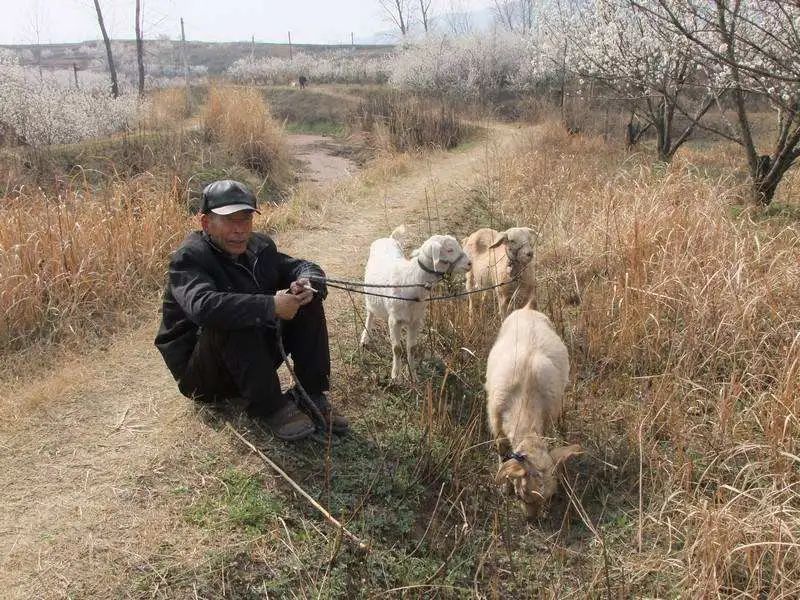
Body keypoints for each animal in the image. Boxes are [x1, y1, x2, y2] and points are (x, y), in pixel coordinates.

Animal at [360, 225, 472, 380]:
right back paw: (365, 338)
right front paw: (395, 376)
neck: (411, 280)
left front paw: (413, 375)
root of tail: (388, 239)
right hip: (370, 296)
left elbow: (412, 348)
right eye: (450, 250)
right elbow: (397, 348)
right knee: (370, 314)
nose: (470, 264)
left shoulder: (416, 321)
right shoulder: (394, 320)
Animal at [484, 308, 580, 516]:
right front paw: (504, 488)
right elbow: (502, 454)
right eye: (521, 495)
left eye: (550, 497)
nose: (531, 520)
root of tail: (527, 308)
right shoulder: (496, 426)